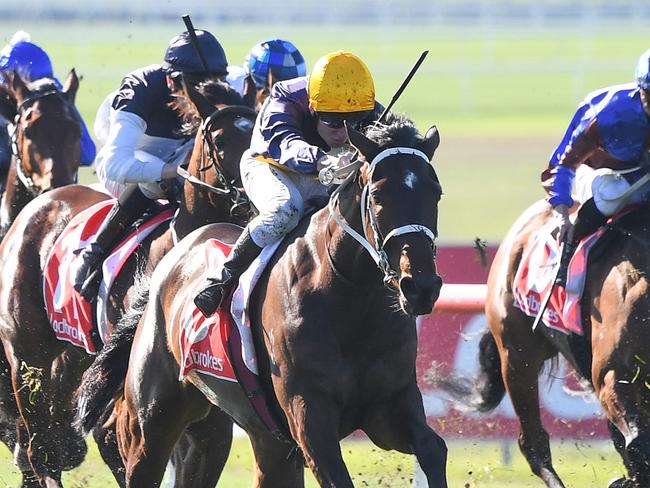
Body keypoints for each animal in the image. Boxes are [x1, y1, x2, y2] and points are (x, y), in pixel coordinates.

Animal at [78, 112, 448, 486]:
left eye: (436, 192)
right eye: (378, 194)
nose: (421, 286)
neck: (351, 301)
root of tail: (172, 258)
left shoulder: (389, 407)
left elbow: (433, 448)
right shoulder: (309, 418)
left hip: (248, 434)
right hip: (153, 416)